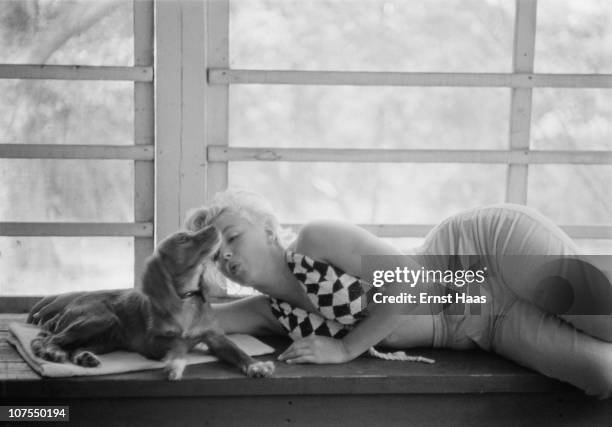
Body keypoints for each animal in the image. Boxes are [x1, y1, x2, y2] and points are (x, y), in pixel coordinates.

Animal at [28, 227, 274, 382]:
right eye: (183, 239)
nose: (215, 227)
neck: (184, 298)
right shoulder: (152, 342)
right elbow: (178, 343)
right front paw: (176, 363)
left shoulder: (215, 337)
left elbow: (237, 350)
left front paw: (255, 365)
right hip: (102, 319)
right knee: (52, 340)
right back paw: (53, 352)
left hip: (108, 337)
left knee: (74, 347)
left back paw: (84, 357)